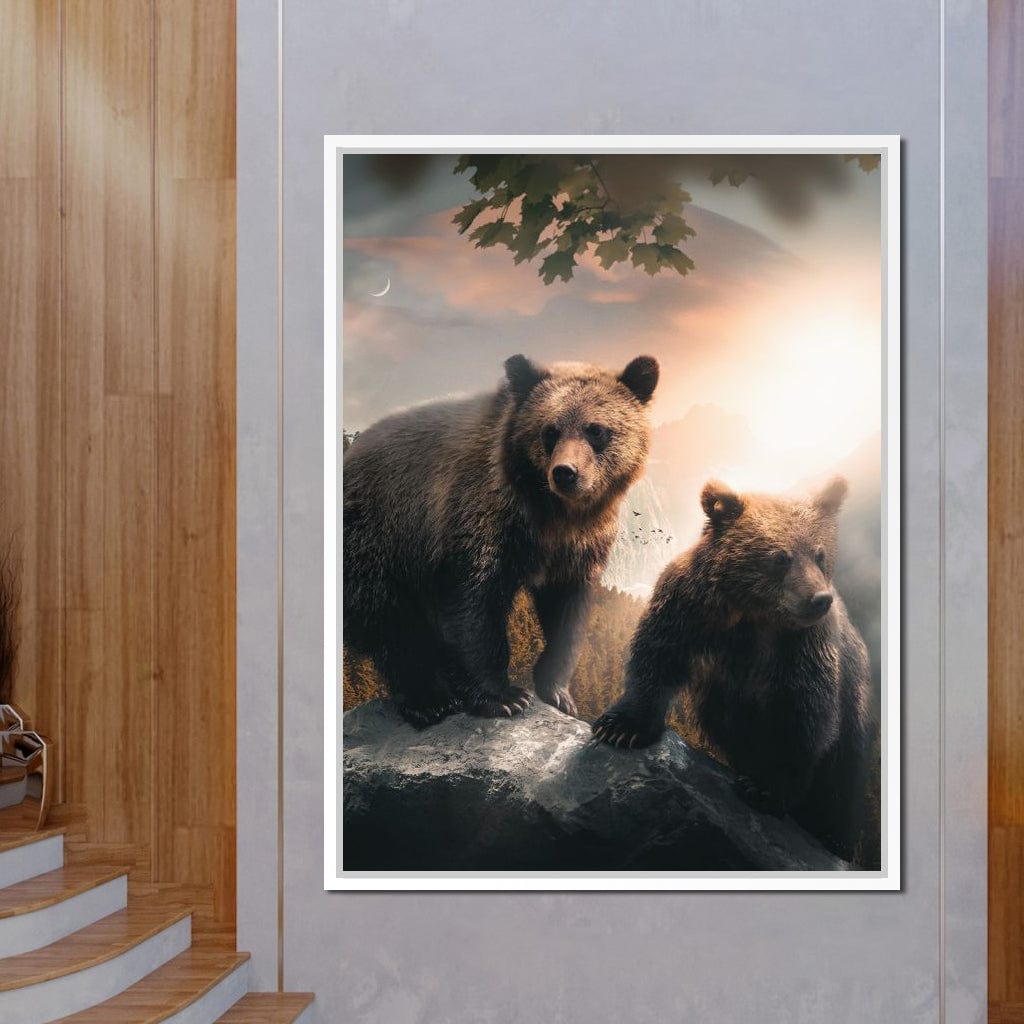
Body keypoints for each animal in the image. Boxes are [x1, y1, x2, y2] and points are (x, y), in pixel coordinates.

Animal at [343, 352, 659, 728]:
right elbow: (473, 603)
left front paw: (557, 691)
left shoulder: (579, 546)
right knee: (391, 622)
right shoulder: (481, 516)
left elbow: (567, 611)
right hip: (377, 537)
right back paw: (430, 699)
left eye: (596, 430)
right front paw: (504, 696)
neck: (552, 514)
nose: (565, 473)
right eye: (549, 430)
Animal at [592, 476, 875, 864]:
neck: (751, 612)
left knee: (841, 782)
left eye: (820, 554)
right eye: (780, 557)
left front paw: (765, 788)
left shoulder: (799, 646)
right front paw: (622, 727)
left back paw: (833, 836)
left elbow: (801, 713)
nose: (820, 599)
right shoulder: (691, 605)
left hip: (854, 709)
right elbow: (657, 656)